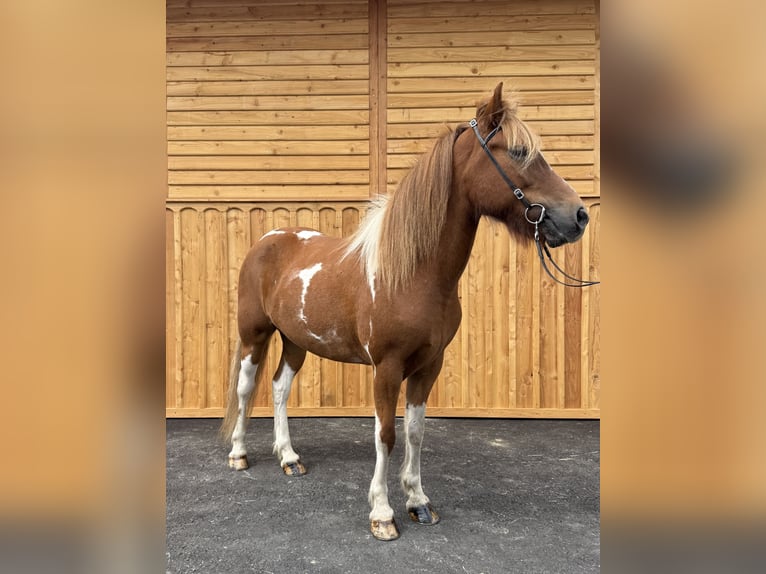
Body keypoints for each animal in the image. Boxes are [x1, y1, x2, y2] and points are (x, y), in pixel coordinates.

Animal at [220, 82, 591, 541]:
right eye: (519, 151)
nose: (578, 215)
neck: (414, 274)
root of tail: (268, 238)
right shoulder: (387, 367)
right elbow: (385, 434)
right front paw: (382, 513)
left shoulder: (429, 364)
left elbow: (415, 431)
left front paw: (418, 501)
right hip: (254, 334)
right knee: (245, 387)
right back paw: (238, 453)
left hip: (295, 341)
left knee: (278, 388)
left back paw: (290, 458)